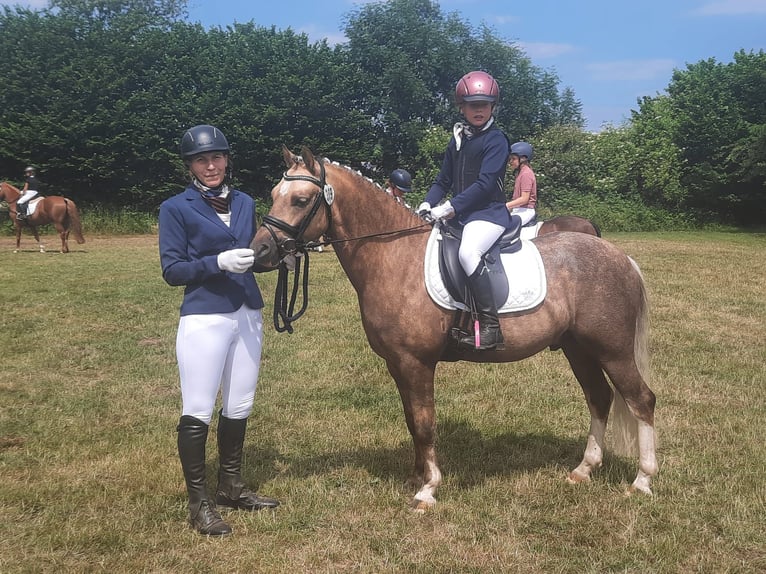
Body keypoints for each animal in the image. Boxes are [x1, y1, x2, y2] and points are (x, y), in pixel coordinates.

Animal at [254, 147, 660, 512]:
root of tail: (621, 258)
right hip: (579, 349)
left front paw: (428, 490)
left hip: (613, 350)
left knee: (641, 400)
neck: (394, 256)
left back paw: (642, 481)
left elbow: (424, 422)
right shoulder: (397, 363)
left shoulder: (416, 363)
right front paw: (415, 477)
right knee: (600, 399)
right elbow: (411, 420)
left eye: (301, 200)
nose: (260, 252)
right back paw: (583, 470)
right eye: (274, 195)